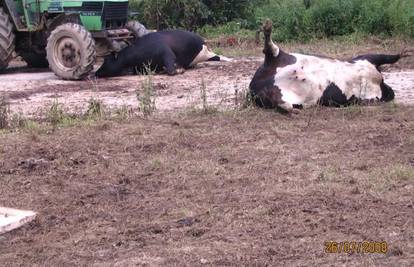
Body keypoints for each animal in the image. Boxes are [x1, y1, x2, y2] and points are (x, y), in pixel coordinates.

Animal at [95, 29, 230, 77]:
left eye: (106, 60)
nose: (96, 73)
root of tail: (202, 40)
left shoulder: (167, 54)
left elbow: (171, 70)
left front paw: (178, 70)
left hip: (205, 53)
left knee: (217, 57)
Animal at [249, 20, 410, 113]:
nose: (388, 88)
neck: (379, 82)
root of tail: (254, 86)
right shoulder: (367, 58)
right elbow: (389, 57)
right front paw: (404, 52)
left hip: (276, 90)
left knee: (281, 102)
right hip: (278, 58)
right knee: (270, 49)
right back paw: (267, 30)